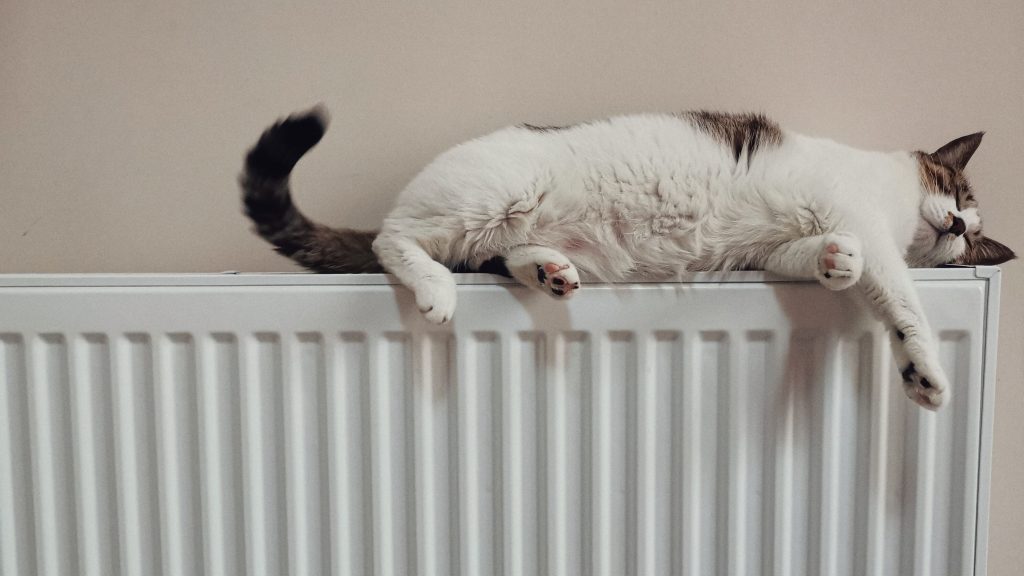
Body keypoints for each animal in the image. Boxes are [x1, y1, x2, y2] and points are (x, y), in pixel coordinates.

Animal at [241, 105, 1015, 405]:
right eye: (953, 191)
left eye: (970, 239)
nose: (955, 222)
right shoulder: (869, 226)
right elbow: (902, 300)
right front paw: (924, 372)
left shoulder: (780, 250)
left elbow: (825, 257)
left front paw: (835, 264)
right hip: (490, 196)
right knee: (392, 240)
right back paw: (434, 290)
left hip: (498, 228)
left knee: (498, 256)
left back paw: (548, 270)